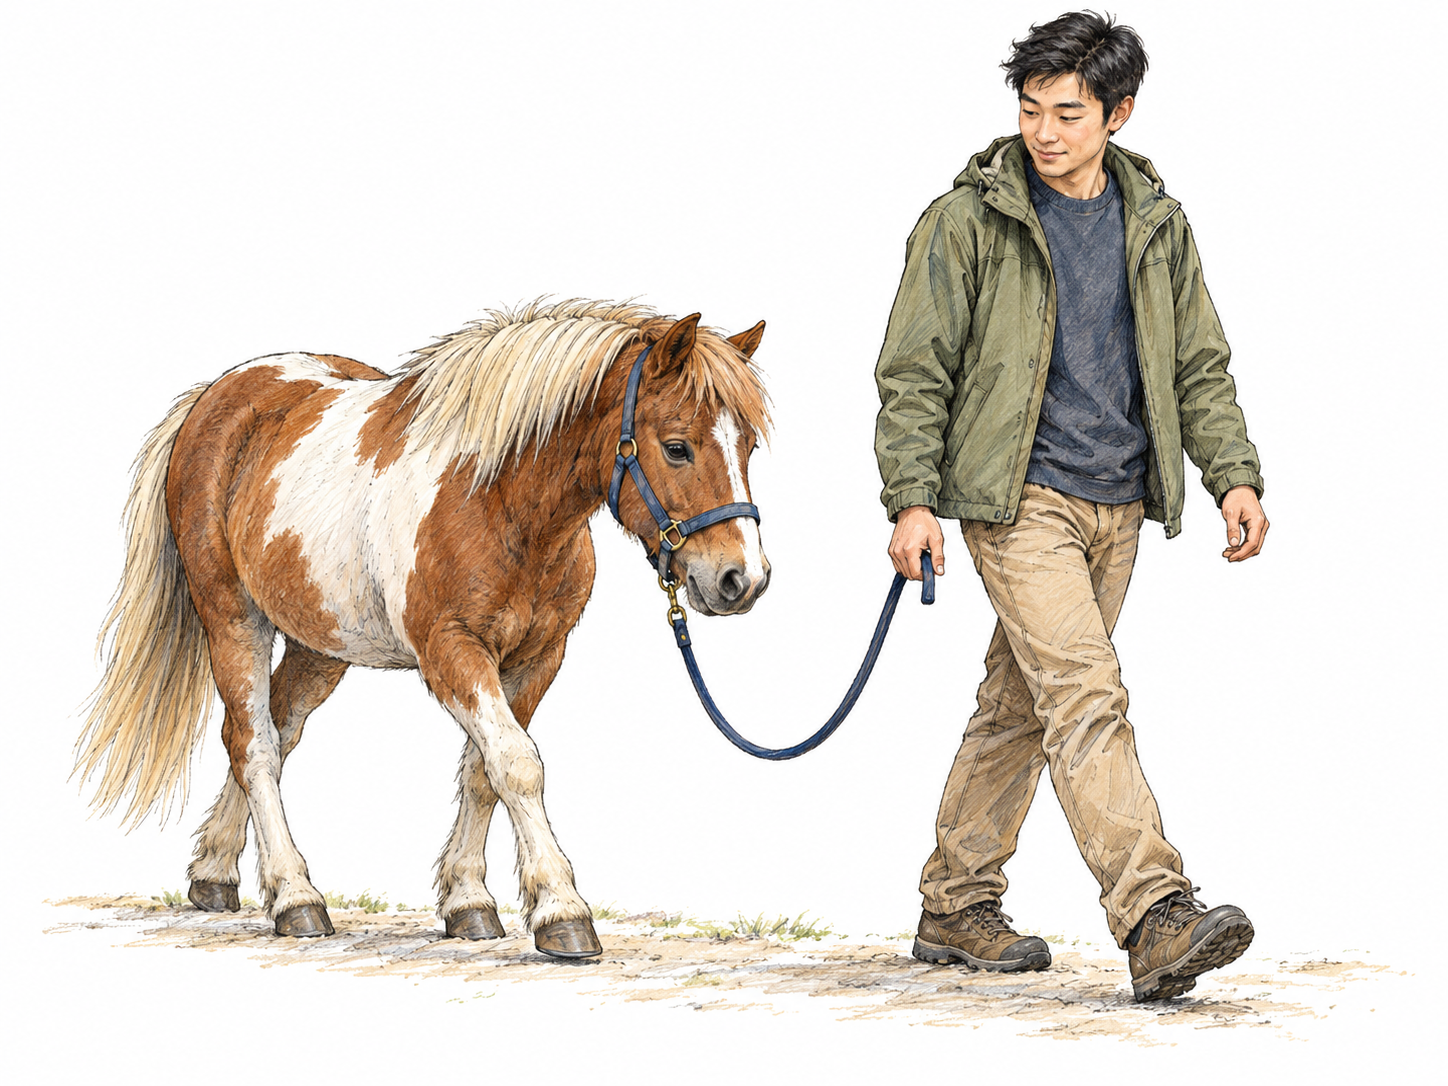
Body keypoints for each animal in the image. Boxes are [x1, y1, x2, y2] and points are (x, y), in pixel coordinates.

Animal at [74, 300, 771, 958]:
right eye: (676, 446)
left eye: (748, 447)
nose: (743, 579)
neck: (497, 498)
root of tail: (215, 397)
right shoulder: (453, 653)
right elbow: (518, 763)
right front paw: (562, 912)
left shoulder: (537, 657)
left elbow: (485, 771)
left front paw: (469, 903)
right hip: (233, 617)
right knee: (254, 744)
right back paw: (296, 898)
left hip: (320, 644)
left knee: (273, 730)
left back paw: (216, 874)